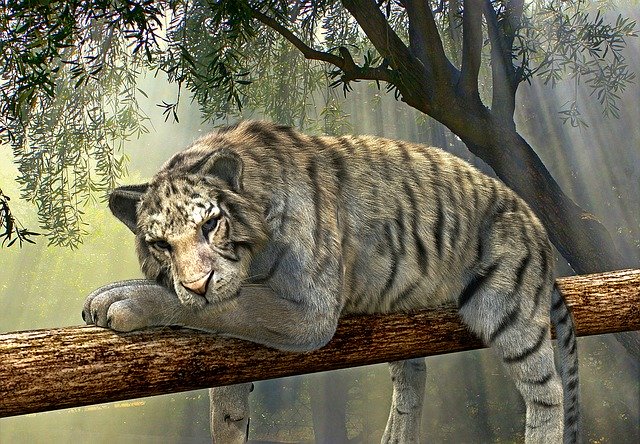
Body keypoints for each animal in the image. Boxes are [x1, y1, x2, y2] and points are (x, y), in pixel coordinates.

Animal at [83, 120, 580, 443]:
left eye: (210, 225)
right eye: (160, 245)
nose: (198, 283)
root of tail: (534, 222)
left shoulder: (309, 314)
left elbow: (231, 307)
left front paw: (121, 299)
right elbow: (226, 392)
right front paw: (229, 423)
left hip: (508, 311)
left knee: (548, 393)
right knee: (412, 377)